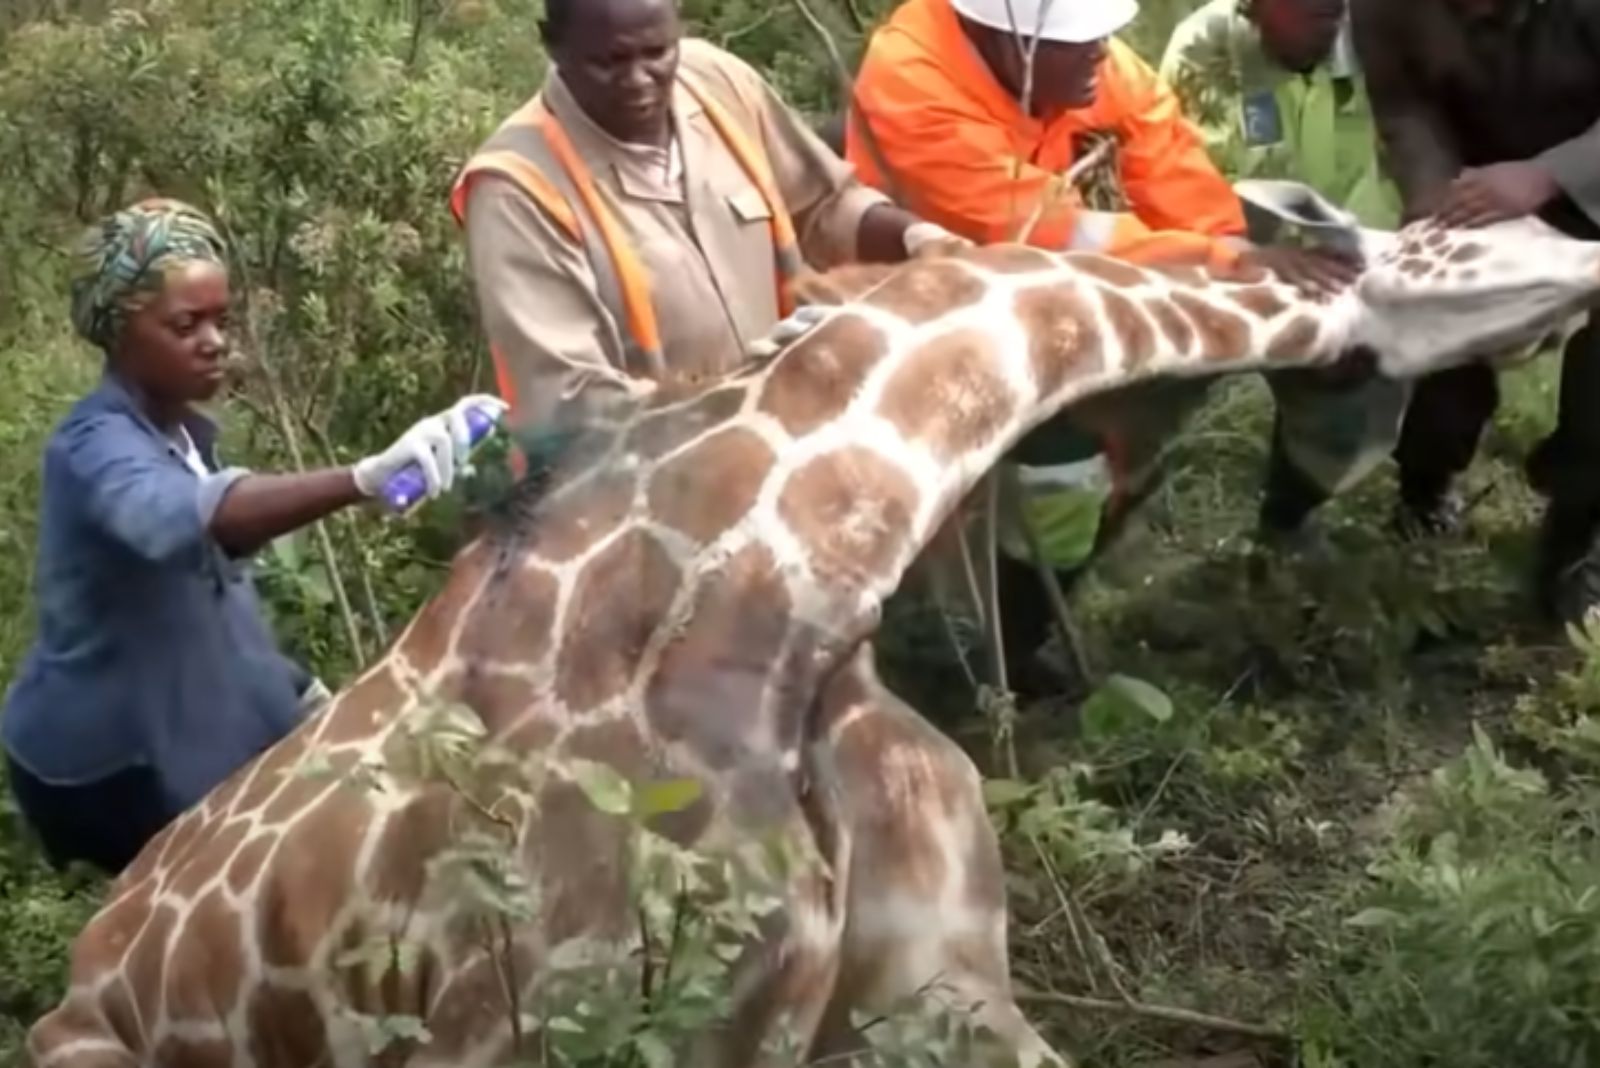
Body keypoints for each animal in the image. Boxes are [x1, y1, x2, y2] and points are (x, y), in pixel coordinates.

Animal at [25, 217, 1600, 1068]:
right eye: (1478, 235)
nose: (1584, 244)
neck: (790, 597)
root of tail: (89, 952)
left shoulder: (933, 985)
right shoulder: (550, 1028)